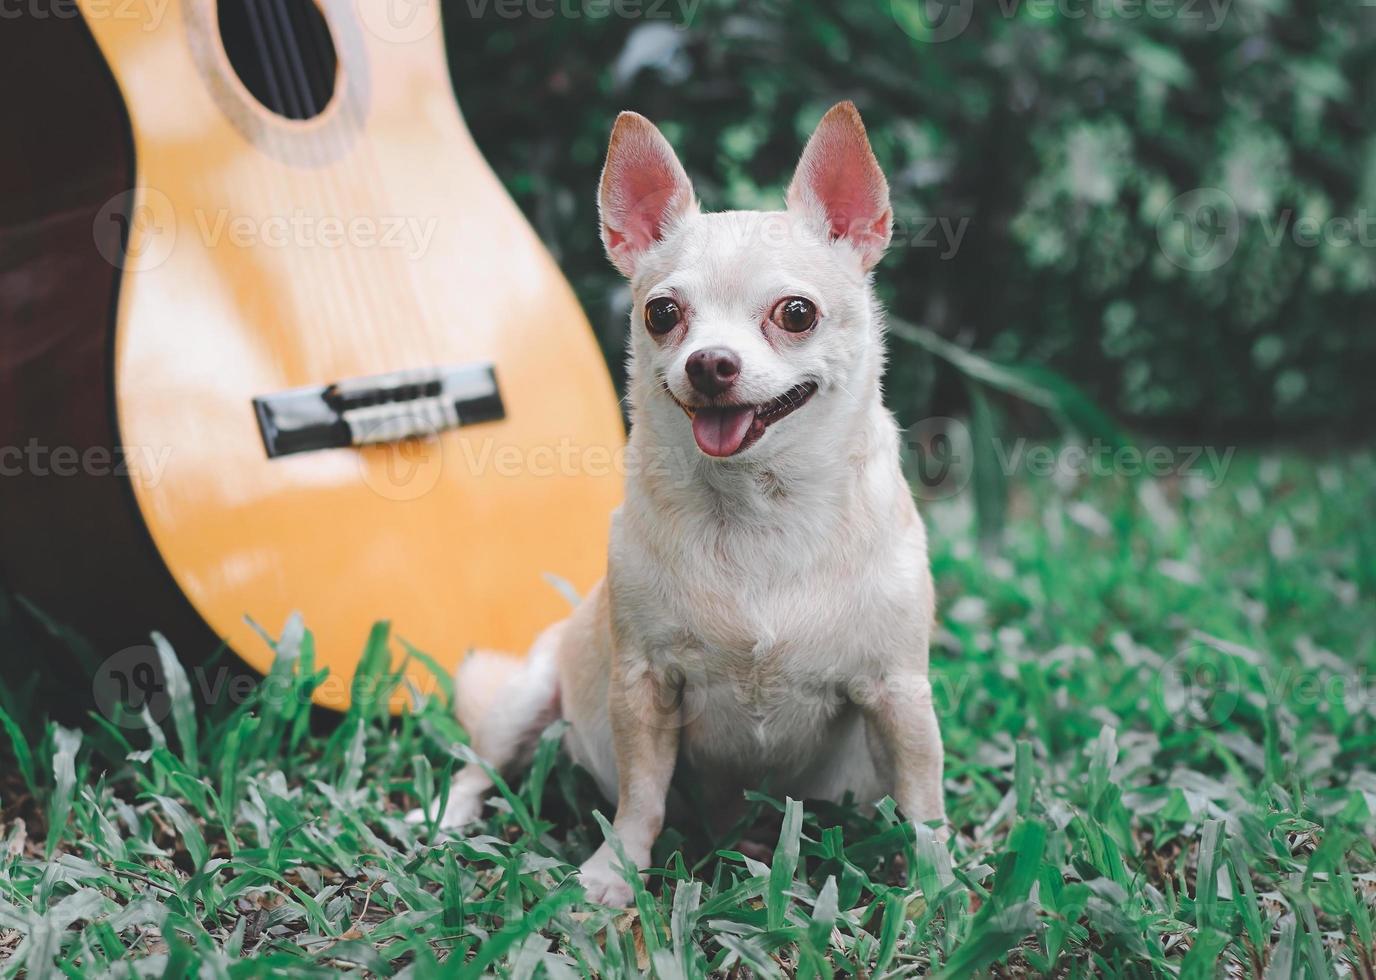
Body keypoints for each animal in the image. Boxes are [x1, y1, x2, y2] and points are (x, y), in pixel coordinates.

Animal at [407, 103, 946, 908]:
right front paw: (614, 872)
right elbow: (642, 796)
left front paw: (946, 890)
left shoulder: (899, 695)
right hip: (526, 697)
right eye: (663, 314)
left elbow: (923, 806)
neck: (759, 507)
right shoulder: (645, 686)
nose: (710, 362)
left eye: (797, 314)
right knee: (481, 765)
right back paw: (445, 819)